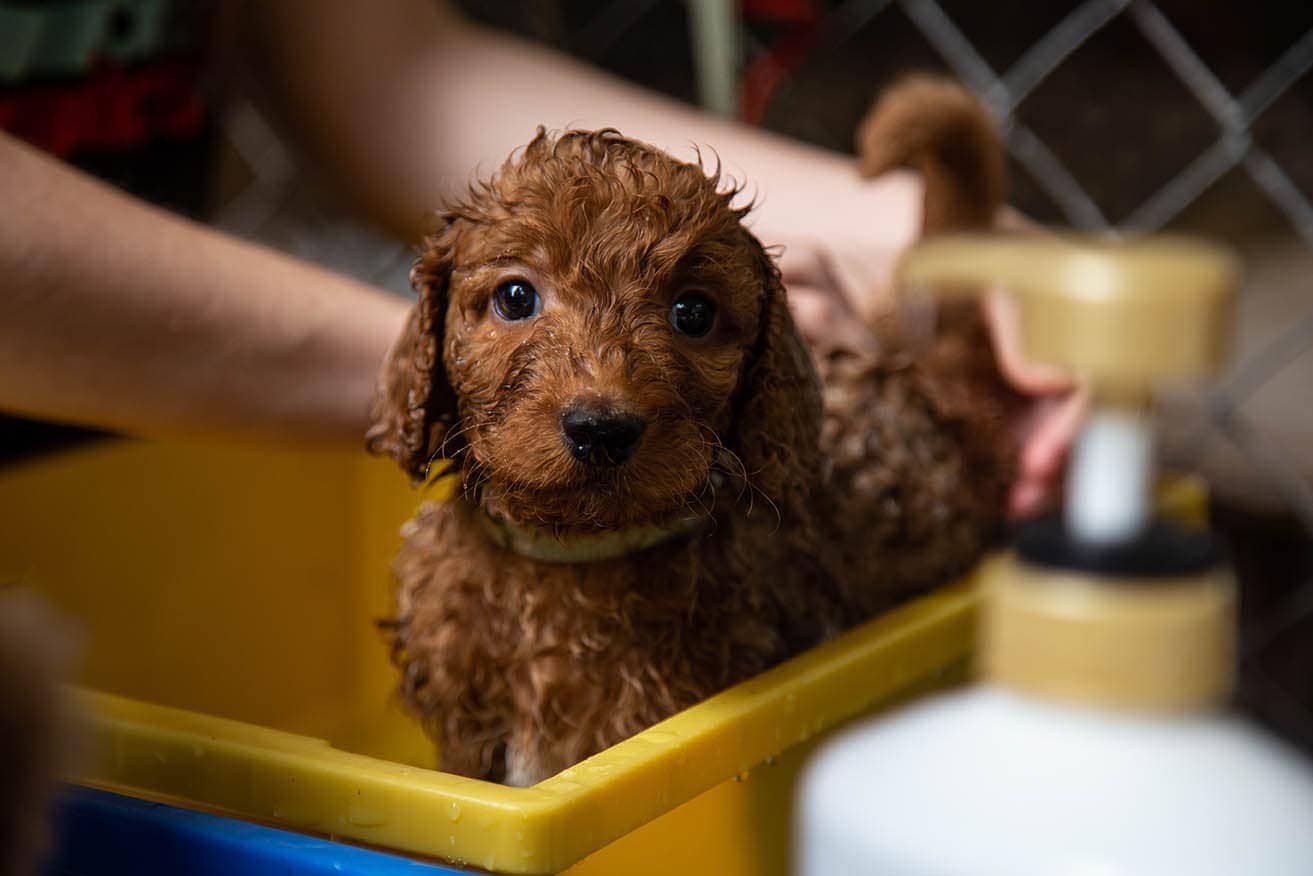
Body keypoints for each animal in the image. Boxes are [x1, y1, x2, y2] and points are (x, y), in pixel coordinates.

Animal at [370, 78, 1013, 782]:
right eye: (516, 298)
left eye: (693, 313)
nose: (601, 428)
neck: (570, 559)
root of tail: (924, 377)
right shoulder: (468, 739)